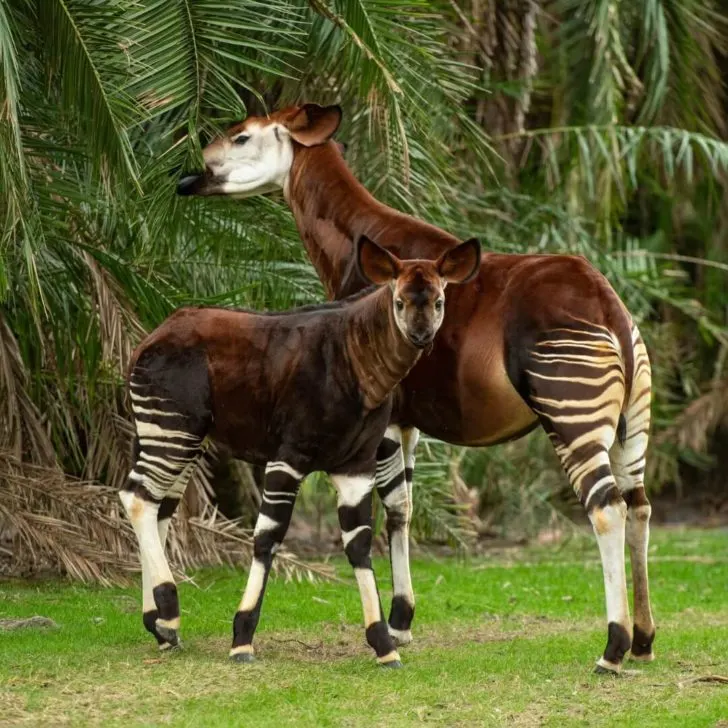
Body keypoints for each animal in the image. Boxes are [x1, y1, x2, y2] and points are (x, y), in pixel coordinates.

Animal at [118, 236, 480, 668]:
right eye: (399, 302)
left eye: (439, 302)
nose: (421, 336)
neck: (358, 364)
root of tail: (147, 340)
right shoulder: (288, 457)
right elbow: (268, 537)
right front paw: (242, 638)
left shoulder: (355, 467)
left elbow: (358, 543)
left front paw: (383, 644)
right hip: (174, 428)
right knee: (137, 497)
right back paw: (169, 614)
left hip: (181, 436)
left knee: (160, 507)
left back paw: (159, 624)